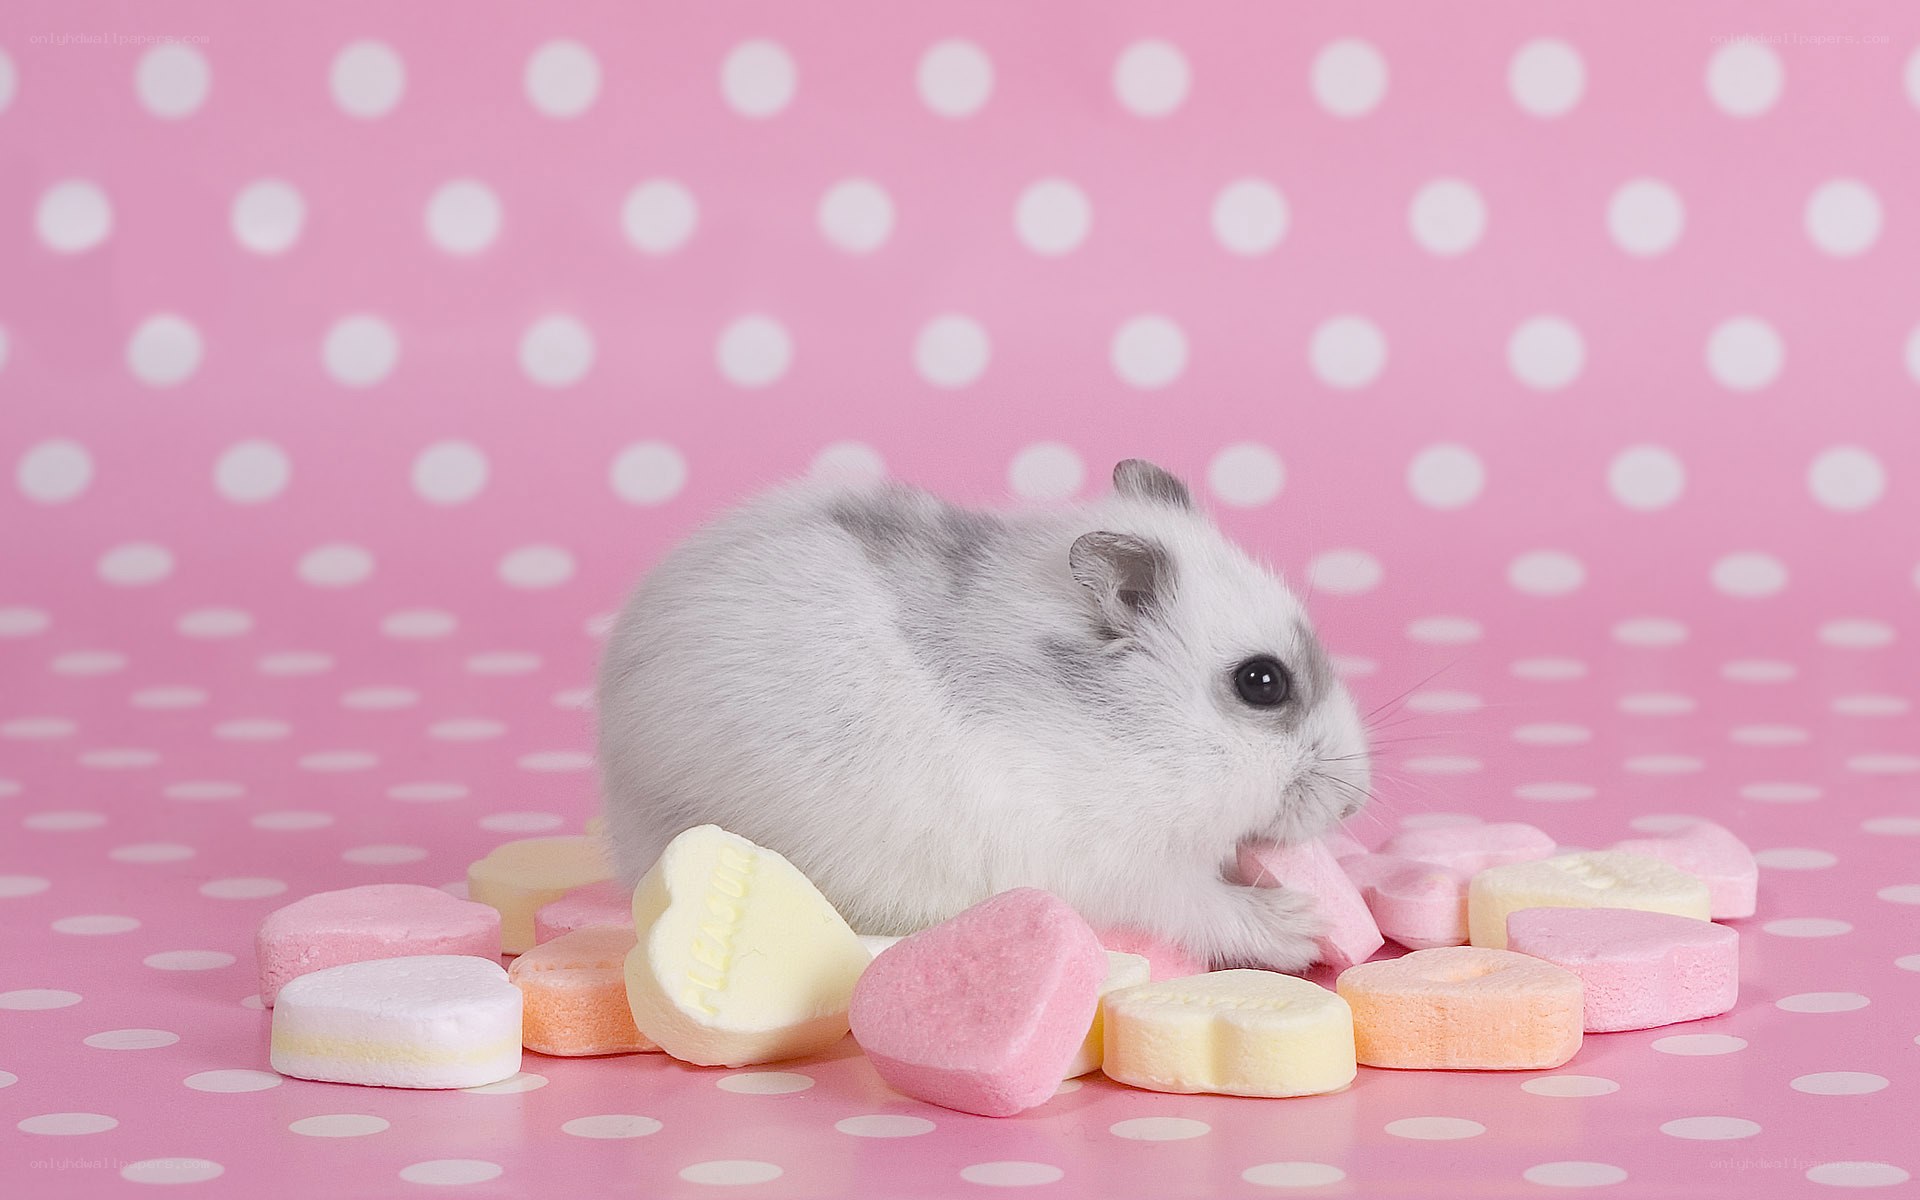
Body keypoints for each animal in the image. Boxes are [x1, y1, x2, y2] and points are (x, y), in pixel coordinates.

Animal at [595, 459, 1371, 972]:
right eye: (1262, 682)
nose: (1355, 805)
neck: (1127, 738)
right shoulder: (1116, 870)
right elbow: (1200, 903)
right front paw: (1301, 926)